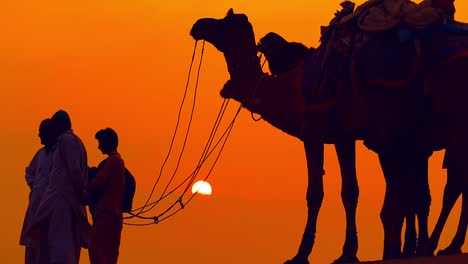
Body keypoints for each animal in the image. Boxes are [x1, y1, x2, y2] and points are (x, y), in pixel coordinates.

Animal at [190, 7, 468, 262]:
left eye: (223, 22)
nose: (197, 25)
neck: (294, 89)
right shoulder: (345, 135)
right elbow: (356, 192)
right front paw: (352, 251)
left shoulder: (315, 131)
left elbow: (318, 193)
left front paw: (303, 253)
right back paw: (438, 246)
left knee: (451, 184)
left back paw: (441, 246)